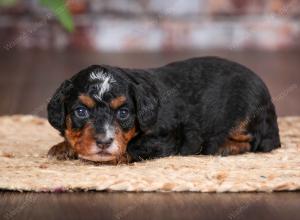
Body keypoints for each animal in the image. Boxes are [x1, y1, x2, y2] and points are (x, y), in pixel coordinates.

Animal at [47, 56, 282, 163]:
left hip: (243, 116)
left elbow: (135, 147)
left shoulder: (167, 137)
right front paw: (62, 147)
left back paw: (222, 147)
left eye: (123, 113)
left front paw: (113, 156)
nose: (104, 143)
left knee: (254, 141)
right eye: (81, 112)